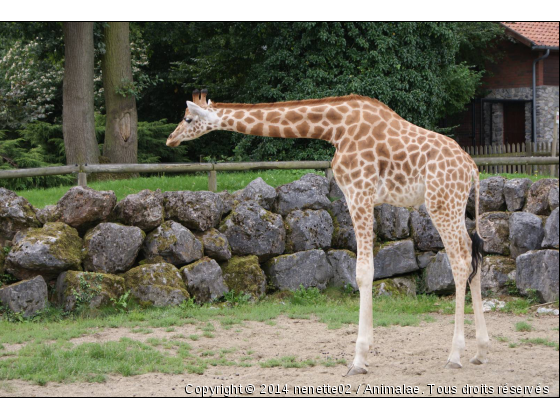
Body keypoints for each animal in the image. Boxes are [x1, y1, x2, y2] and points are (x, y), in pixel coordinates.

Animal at [168, 88, 488, 374]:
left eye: (187, 118)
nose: (171, 138)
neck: (335, 128)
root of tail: (472, 167)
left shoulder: (359, 193)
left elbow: (363, 272)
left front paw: (359, 359)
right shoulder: (360, 196)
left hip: (441, 203)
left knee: (460, 261)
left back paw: (455, 355)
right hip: (454, 205)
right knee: (474, 256)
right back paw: (480, 352)